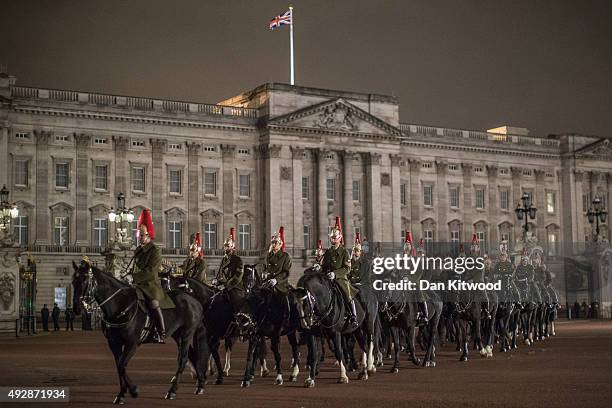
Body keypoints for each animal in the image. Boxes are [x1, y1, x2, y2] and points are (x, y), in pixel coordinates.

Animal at [71, 262, 206, 402]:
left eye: (85, 279)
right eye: (73, 281)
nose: (76, 308)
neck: (120, 305)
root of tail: (195, 301)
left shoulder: (132, 343)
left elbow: (122, 365)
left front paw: (133, 390)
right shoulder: (114, 343)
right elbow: (119, 366)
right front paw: (122, 394)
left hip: (186, 334)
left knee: (183, 359)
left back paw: (172, 391)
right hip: (177, 335)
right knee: (192, 355)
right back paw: (200, 384)